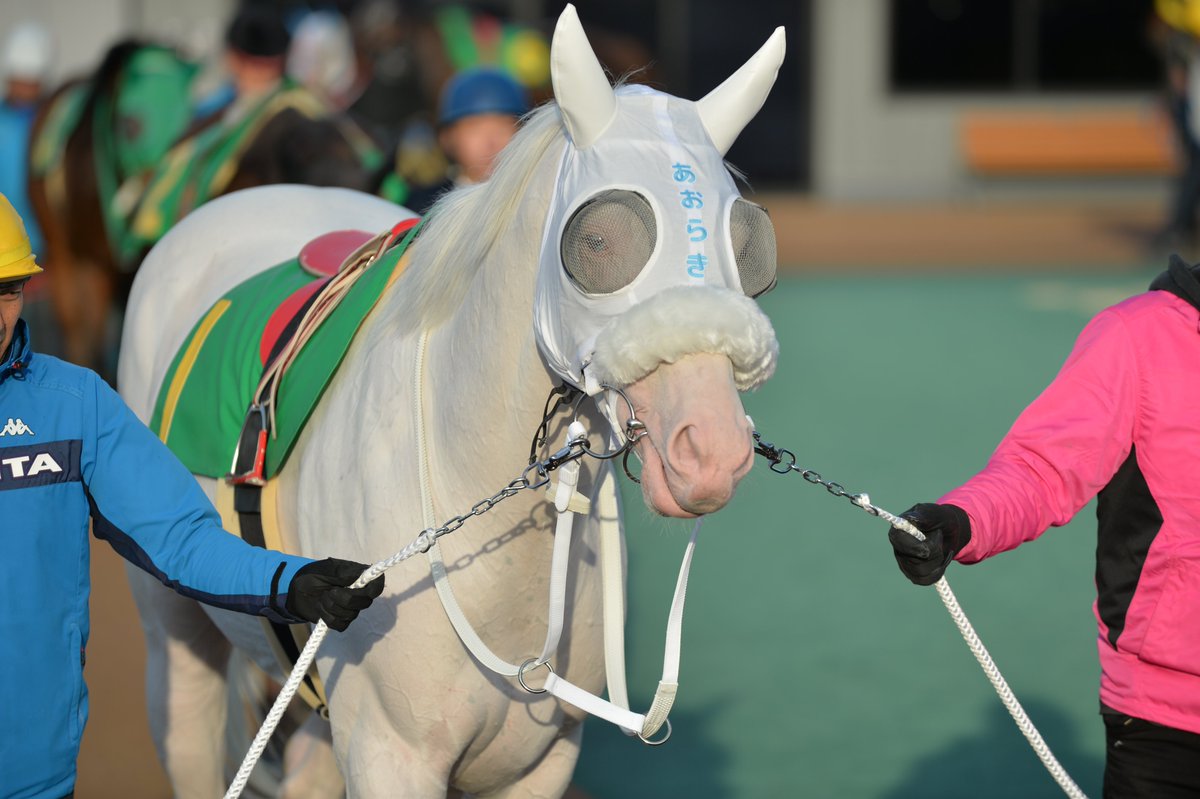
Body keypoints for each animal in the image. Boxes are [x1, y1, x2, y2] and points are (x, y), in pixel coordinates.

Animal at [117, 6, 785, 796]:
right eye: (596, 240)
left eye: (750, 247)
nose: (711, 447)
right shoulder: (388, 754)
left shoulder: (538, 761)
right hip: (175, 633)